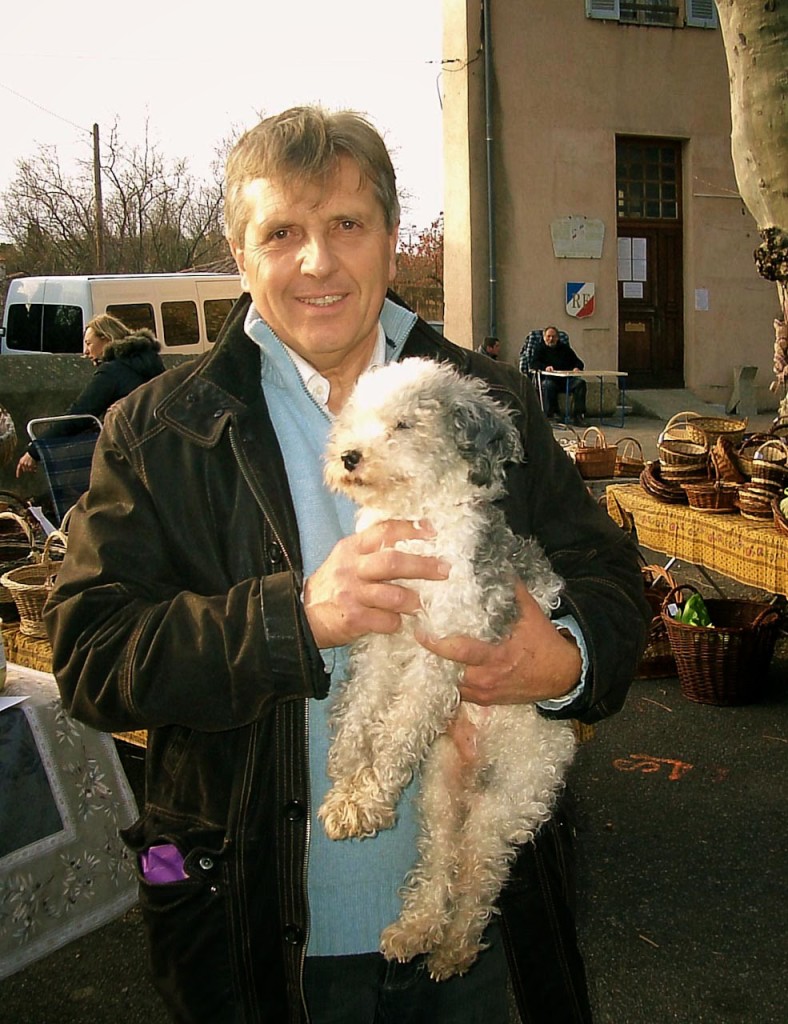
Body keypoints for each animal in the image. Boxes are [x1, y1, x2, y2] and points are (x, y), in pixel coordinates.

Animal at [315, 356, 573, 978]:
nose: (349, 456)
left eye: (405, 424)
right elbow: (358, 718)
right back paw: (415, 930)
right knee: (438, 867)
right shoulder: (380, 640)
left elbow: (397, 729)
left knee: (478, 880)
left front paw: (368, 796)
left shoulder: (444, 650)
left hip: (506, 802)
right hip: (438, 795)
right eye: (356, 418)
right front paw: (347, 793)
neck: (416, 523)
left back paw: (454, 947)